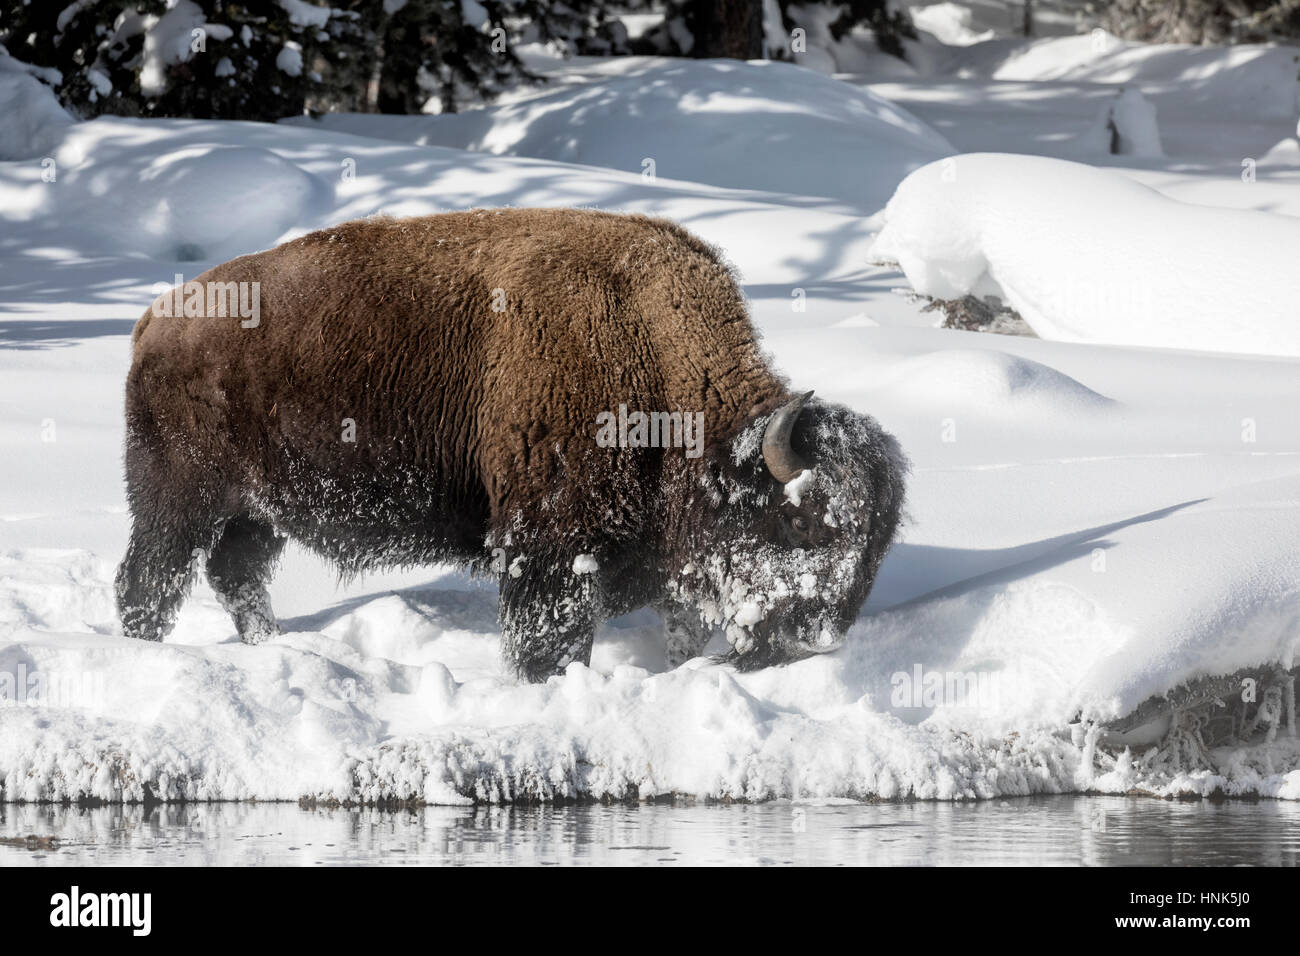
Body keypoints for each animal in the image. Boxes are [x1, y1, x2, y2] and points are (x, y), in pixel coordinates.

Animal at [116, 208, 906, 681]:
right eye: (799, 523)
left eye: (877, 550)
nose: (812, 640)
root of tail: (156, 321)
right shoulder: (548, 545)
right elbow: (549, 634)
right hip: (180, 502)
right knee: (148, 585)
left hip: (256, 513)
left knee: (236, 575)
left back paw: (271, 646)